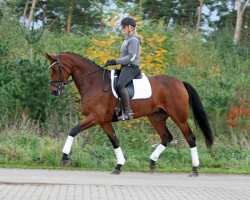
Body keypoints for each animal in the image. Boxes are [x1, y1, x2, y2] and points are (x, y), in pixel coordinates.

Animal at [45, 52, 213, 177]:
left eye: (55, 70)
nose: (54, 91)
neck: (93, 82)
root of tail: (180, 82)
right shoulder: (104, 121)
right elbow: (115, 141)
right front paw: (118, 166)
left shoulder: (95, 118)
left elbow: (73, 130)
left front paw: (64, 157)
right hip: (156, 117)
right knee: (166, 137)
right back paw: (152, 163)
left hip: (179, 116)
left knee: (190, 137)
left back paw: (194, 169)